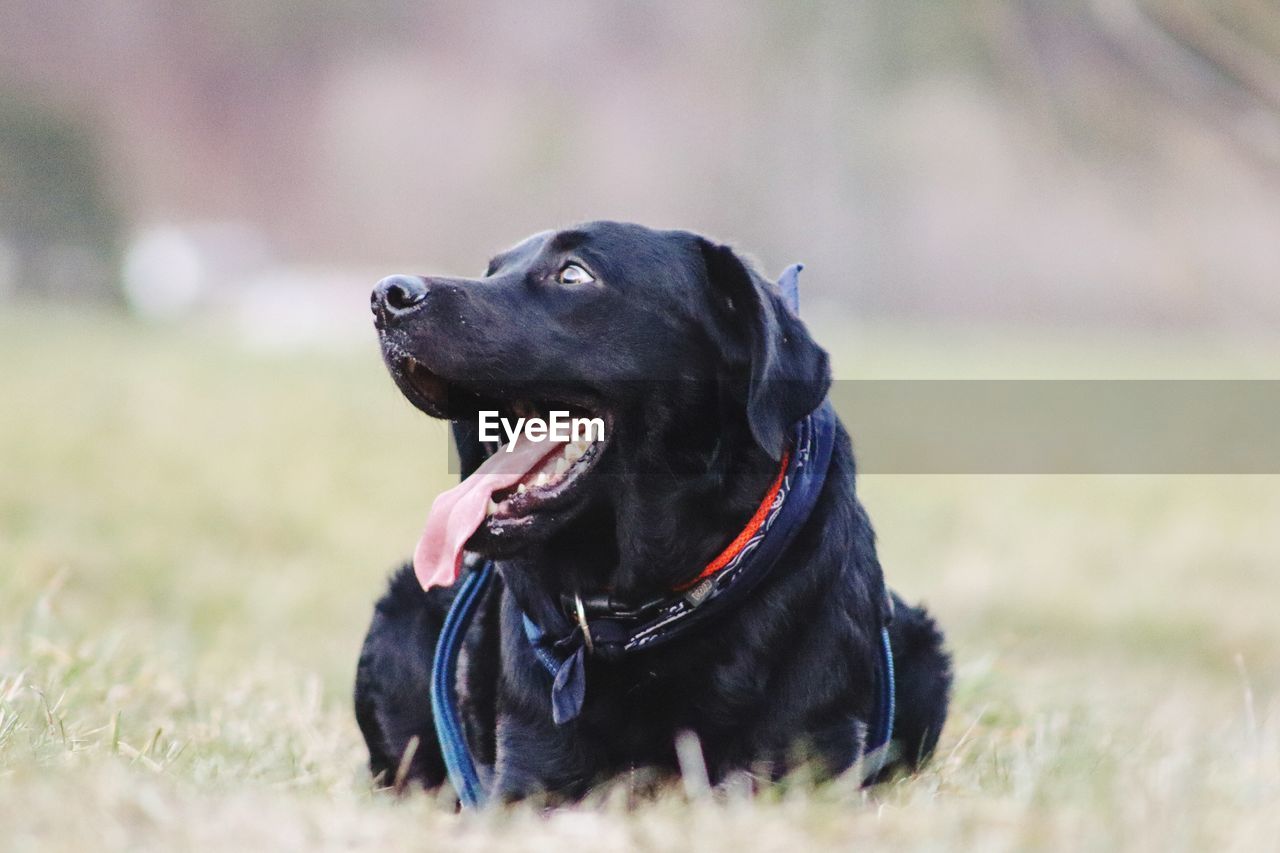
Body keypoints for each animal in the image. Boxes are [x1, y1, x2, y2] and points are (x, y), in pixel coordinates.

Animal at [355, 222, 947, 799]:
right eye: (491, 272)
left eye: (573, 275)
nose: (386, 296)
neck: (641, 613)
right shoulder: (528, 779)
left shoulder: (807, 769)